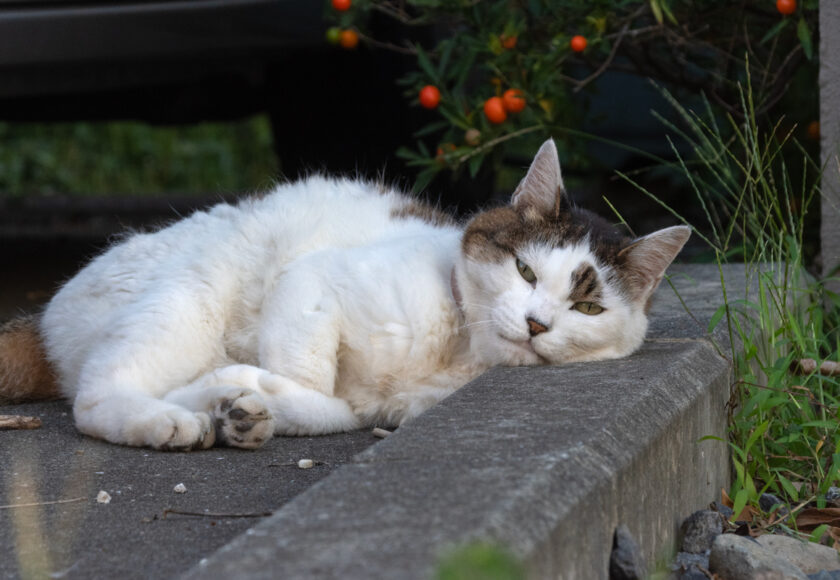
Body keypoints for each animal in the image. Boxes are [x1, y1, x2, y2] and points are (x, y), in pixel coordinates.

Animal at [0, 139, 688, 448]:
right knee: (94, 397)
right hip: (184, 302)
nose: (539, 324)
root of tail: (44, 316)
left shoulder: (381, 409)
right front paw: (252, 392)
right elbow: (308, 375)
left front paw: (246, 403)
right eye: (524, 271)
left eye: (588, 307)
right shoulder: (311, 284)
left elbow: (334, 410)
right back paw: (165, 419)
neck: (460, 353)